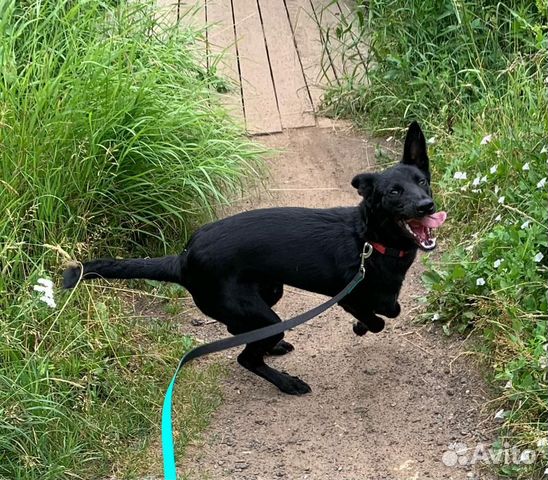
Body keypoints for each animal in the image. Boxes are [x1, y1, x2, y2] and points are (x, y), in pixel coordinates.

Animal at [63, 122, 446, 396]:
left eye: (423, 182)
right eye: (394, 192)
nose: (427, 206)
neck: (369, 240)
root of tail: (183, 259)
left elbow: (389, 307)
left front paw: (364, 324)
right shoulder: (347, 296)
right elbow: (381, 316)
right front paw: (361, 326)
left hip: (269, 293)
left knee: (240, 333)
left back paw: (273, 347)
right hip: (260, 310)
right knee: (245, 355)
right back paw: (287, 382)